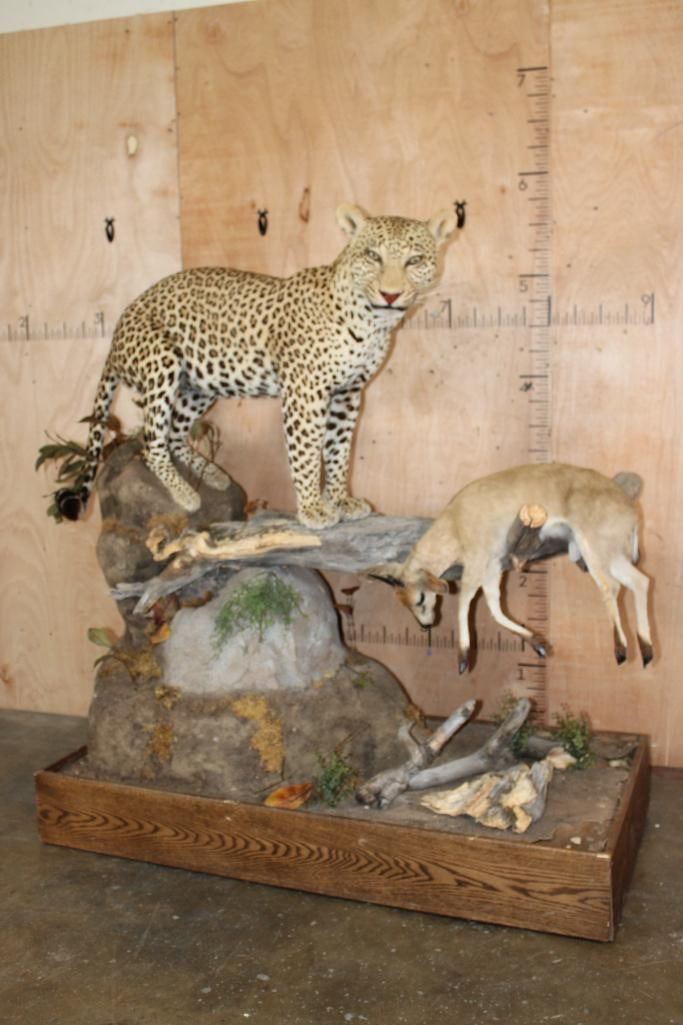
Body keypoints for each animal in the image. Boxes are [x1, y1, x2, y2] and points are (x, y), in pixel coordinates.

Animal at [57, 204, 458, 529]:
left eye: (414, 260)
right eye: (372, 256)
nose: (390, 294)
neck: (373, 323)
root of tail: (117, 330)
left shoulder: (348, 393)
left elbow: (339, 450)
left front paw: (341, 499)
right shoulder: (305, 393)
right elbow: (306, 453)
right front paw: (312, 509)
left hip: (199, 384)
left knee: (173, 434)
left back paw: (215, 476)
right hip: (161, 364)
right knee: (150, 440)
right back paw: (186, 495)